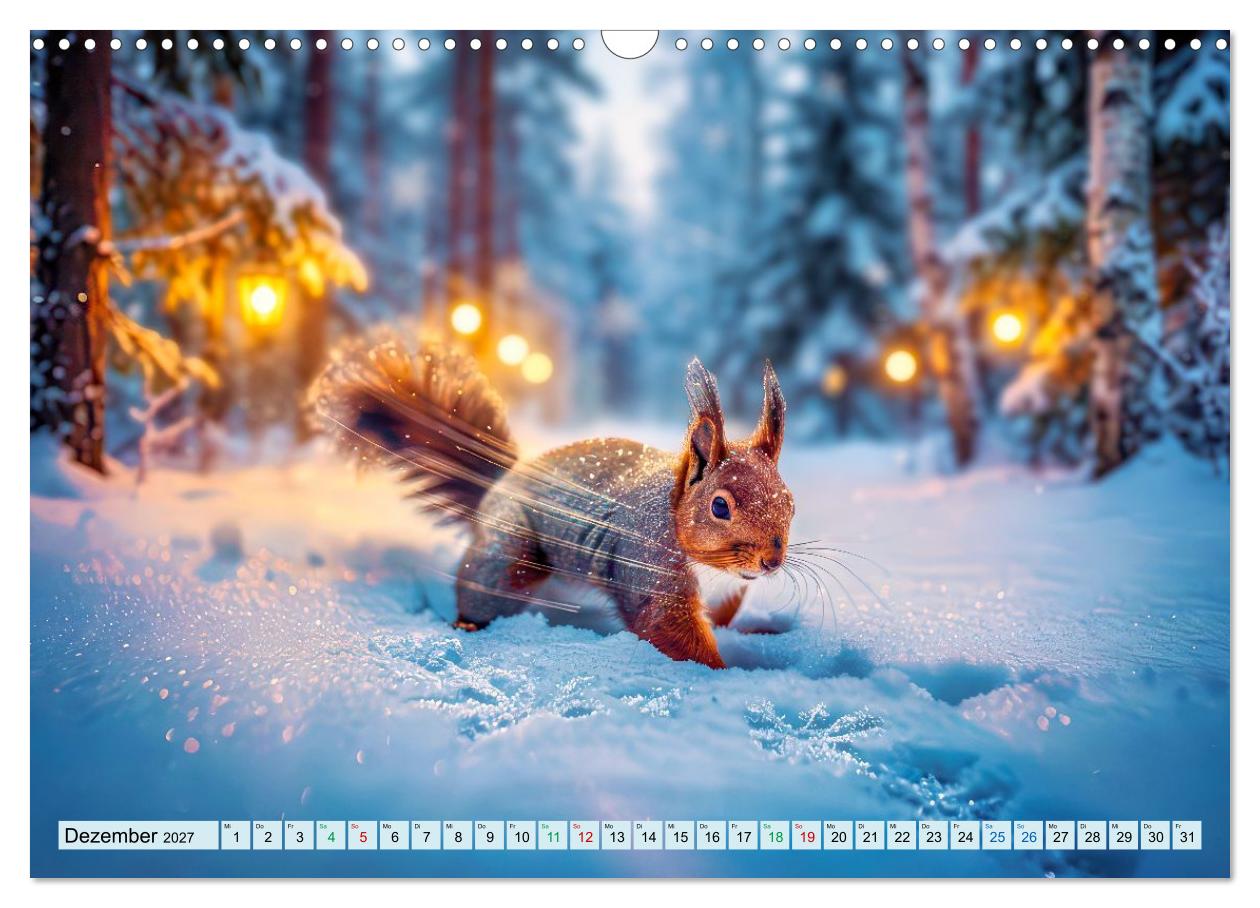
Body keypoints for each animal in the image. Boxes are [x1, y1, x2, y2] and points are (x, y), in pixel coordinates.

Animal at [314, 338, 794, 669]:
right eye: (719, 507)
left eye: (790, 503)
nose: (771, 561)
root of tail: (500, 485)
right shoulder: (650, 572)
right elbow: (670, 632)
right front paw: (723, 676)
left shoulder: (728, 595)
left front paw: (756, 632)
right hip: (510, 553)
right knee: (480, 588)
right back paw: (466, 625)